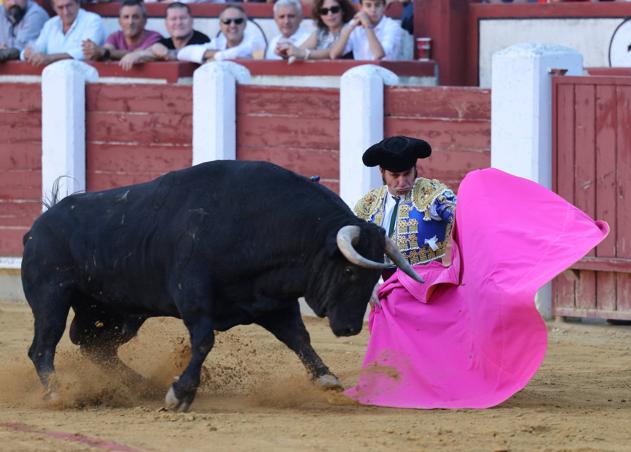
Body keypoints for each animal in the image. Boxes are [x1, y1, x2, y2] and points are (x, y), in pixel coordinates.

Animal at [22, 161, 422, 412]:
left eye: (372, 276)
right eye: (350, 273)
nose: (350, 328)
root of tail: (37, 227)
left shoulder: (272, 302)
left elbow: (299, 338)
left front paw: (327, 379)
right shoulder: (195, 298)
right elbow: (204, 341)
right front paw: (180, 394)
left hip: (114, 312)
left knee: (96, 346)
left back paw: (138, 385)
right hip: (52, 297)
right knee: (43, 347)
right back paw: (57, 393)